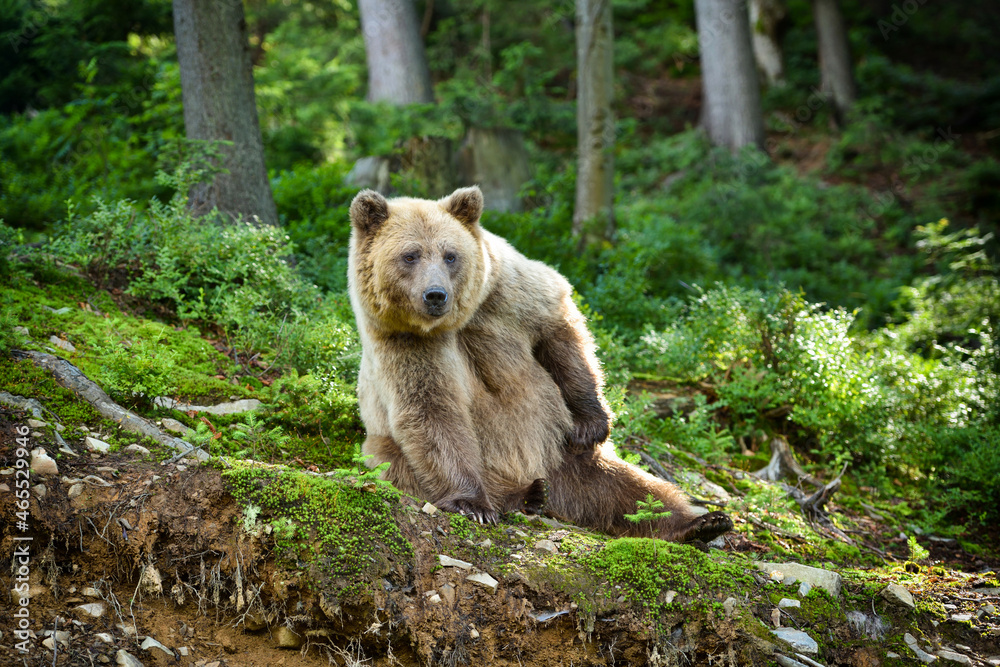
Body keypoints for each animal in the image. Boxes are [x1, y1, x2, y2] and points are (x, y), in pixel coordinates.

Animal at [347, 185, 732, 543]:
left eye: (450, 255)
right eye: (410, 255)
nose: (436, 295)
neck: (456, 322)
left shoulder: (506, 293)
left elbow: (559, 331)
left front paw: (590, 423)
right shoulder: (404, 344)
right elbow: (432, 411)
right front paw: (473, 504)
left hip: (564, 456)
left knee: (631, 488)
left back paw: (702, 522)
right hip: (389, 446)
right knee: (404, 464)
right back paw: (526, 496)